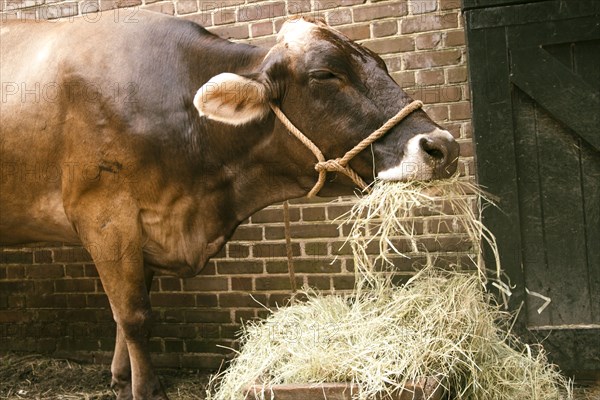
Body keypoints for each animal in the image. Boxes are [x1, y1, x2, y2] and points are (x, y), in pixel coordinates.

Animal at [1, 10, 460, 400]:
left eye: (381, 64)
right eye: (325, 74)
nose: (443, 147)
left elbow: (123, 311)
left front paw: (119, 377)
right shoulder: (105, 216)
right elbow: (134, 314)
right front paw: (147, 389)